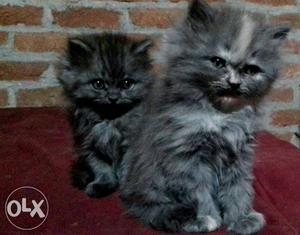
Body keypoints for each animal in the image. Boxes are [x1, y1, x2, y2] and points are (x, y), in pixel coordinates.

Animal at [58, 32, 152, 198]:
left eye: (126, 84)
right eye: (98, 84)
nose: (113, 98)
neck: (110, 119)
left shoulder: (132, 144)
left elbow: (127, 166)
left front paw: (127, 187)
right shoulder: (90, 143)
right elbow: (101, 167)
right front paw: (104, 184)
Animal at [120, 0, 290, 234]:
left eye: (250, 70)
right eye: (218, 62)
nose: (234, 83)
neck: (220, 115)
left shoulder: (239, 153)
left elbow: (238, 188)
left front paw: (241, 218)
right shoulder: (186, 156)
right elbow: (198, 192)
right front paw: (206, 218)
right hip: (149, 186)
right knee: (152, 209)